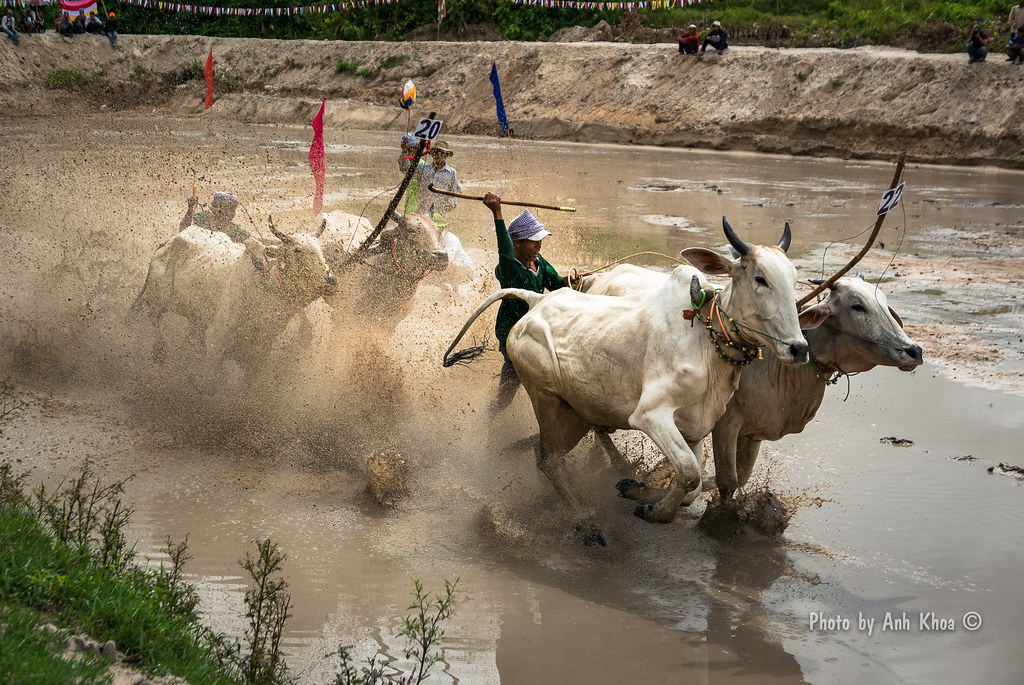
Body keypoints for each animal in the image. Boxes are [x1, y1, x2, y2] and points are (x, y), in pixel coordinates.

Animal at [129, 221, 336, 378]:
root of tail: (167, 242)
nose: (331, 280)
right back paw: (159, 352)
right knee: (154, 321)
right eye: (297, 250)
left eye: (321, 249)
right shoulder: (216, 342)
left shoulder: (259, 355)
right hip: (157, 300)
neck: (263, 290)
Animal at [446, 218, 822, 546]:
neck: (706, 338)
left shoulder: (693, 427)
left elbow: (694, 486)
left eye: (793, 279)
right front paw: (653, 511)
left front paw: (635, 490)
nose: (799, 348)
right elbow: (689, 473)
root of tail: (538, 300)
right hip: (548, 401)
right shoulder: (650, 415)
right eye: (761, 279)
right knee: (548, 461)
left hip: (580, 408)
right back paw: (587, 525)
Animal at [584, 268, 923, 501]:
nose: (914, 351)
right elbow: (727, 482)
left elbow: (738, 478)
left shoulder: (754, 432)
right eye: (857, 306)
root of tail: (598, 278)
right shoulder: (725, 425)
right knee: (599, 427)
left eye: (885, 302)